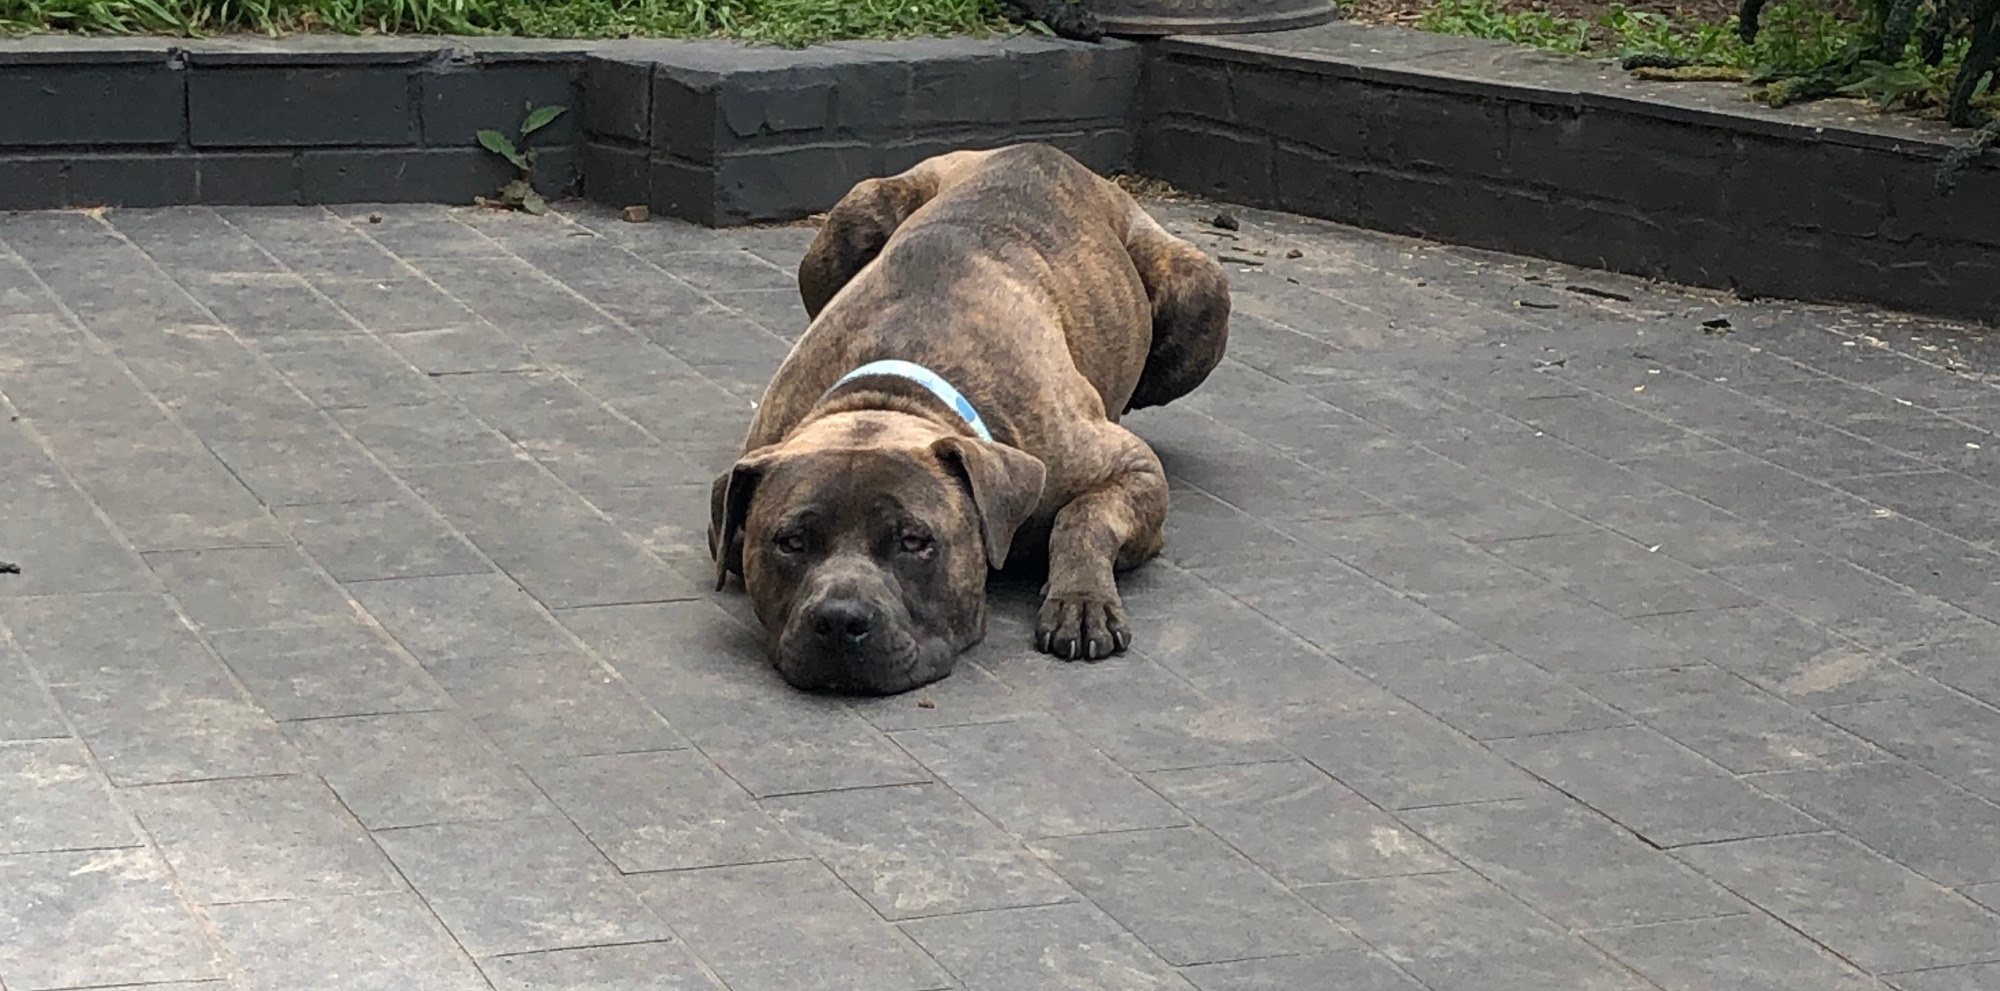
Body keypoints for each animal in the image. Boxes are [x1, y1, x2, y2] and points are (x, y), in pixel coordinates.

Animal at [709, 144, 1229, 694]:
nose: (840, 619)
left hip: (1200, 288)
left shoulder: (1131, 469)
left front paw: (1081, 598)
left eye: (915, 542)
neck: (893, 395)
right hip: (855, 214)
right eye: (790, 543)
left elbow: (1084, 517)